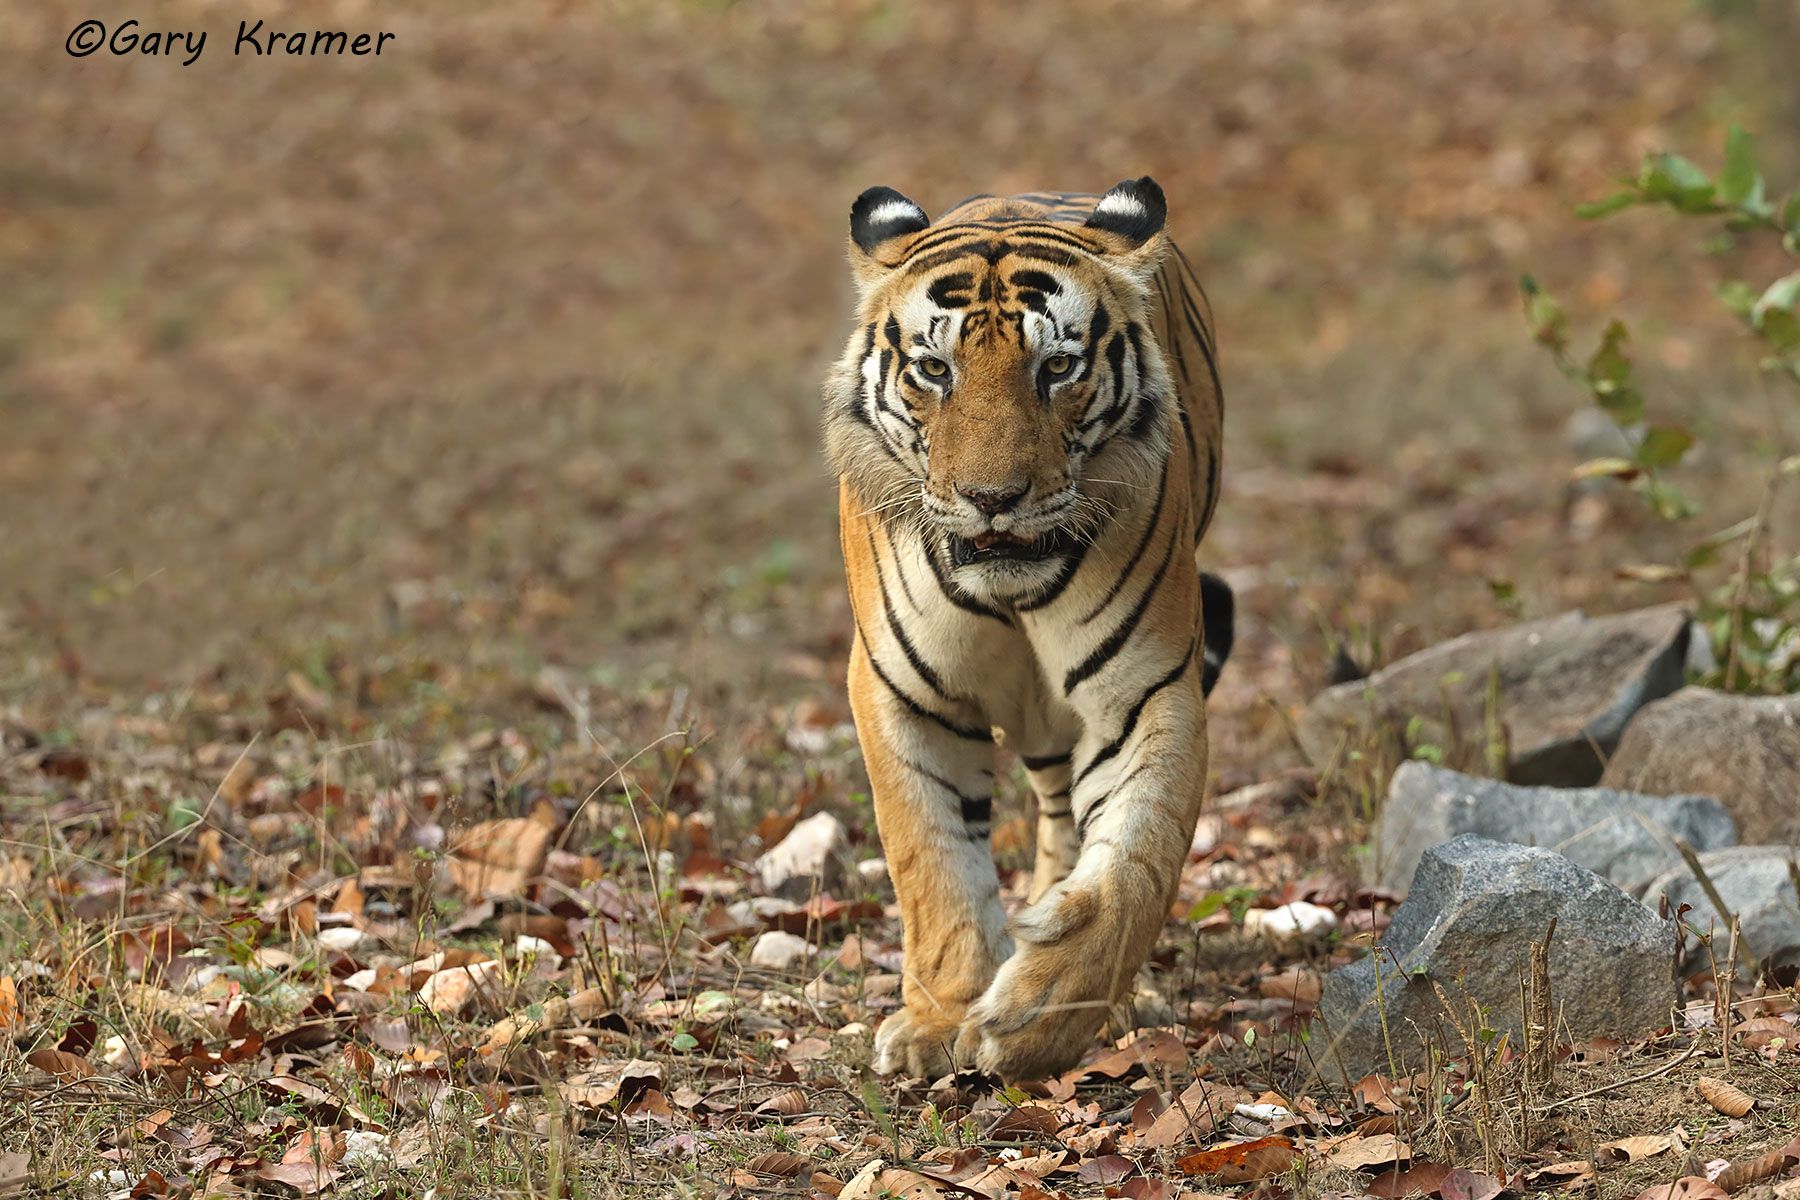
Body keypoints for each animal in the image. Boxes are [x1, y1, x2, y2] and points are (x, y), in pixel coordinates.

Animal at [822, 177, 1232, 1081]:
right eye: (935, 370)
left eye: (1058, 368)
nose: (992, 499)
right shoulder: (901, 693)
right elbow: (933, 861)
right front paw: (939, 1021)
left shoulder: (1146, 691)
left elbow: (1136, 862)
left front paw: (1035, 1018)